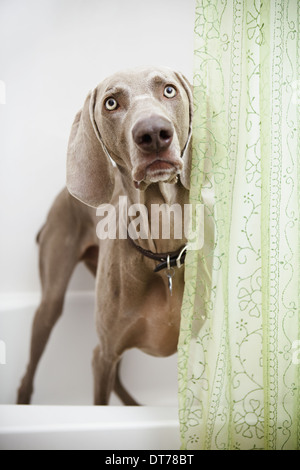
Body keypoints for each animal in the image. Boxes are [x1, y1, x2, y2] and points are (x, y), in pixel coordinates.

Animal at [17, 67, 193, 408]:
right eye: (111, 102)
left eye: (169, 90)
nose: (154, 133)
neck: (164, 257)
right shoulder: (104, 354)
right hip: (52, 302)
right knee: (28, 373)